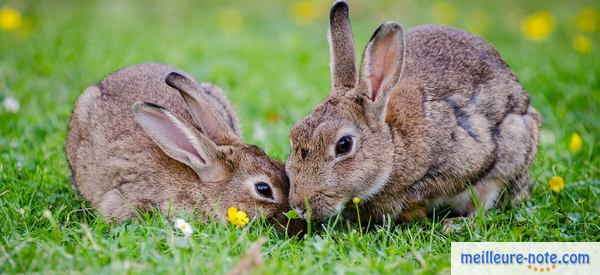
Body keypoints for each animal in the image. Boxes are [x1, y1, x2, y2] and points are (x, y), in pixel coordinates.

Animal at [286, 1, 540, 223]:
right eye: (294, 136)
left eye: (344, 145)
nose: (299, 206)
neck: (393, 145)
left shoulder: (468, 158)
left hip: (514, 143)